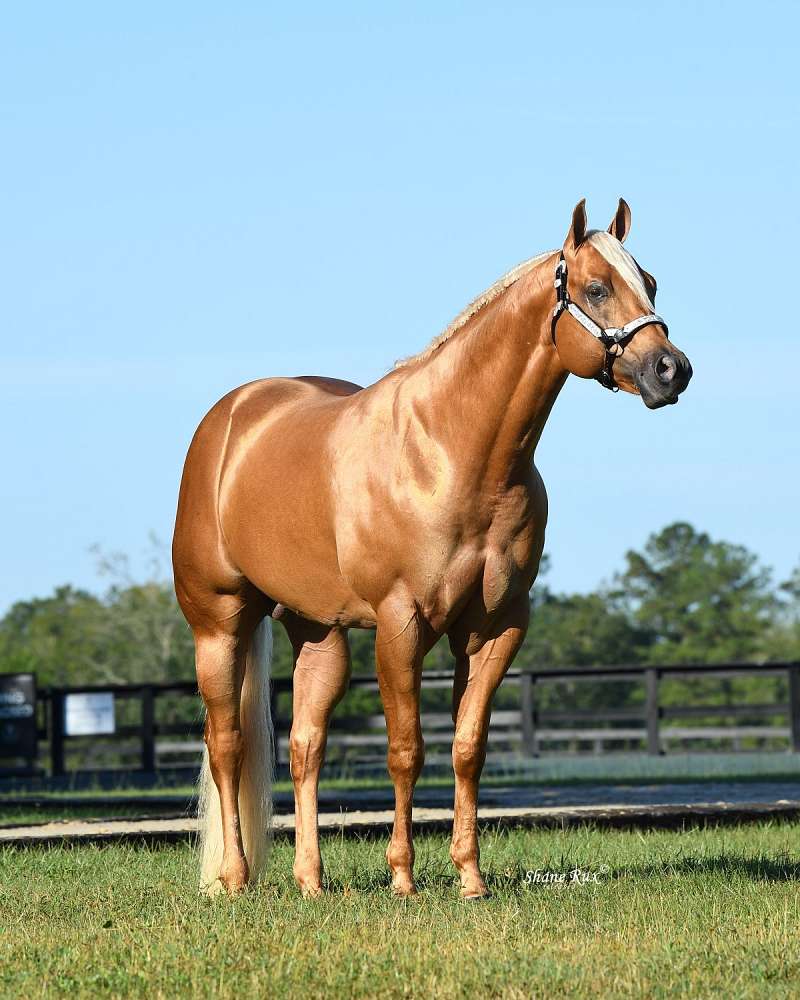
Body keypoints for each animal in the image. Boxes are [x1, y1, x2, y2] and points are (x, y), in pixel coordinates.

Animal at [172, 198, 692, 899]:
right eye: (595, 289)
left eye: (652, 284)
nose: (672, 369)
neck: (452, 452)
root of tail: (230, 418)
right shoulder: (402, 623)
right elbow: (406, 749)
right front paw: (404, 878)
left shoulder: (495, 628)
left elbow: (467, 747)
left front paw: (469, 877)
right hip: (220, 625)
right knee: (226, 743)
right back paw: (234, 876)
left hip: (319, 633)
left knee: (306, 746)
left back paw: (311, 881)